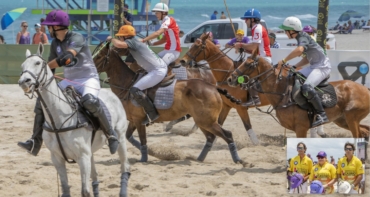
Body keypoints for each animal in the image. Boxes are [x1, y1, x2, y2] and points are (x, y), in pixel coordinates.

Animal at [19, 44, 132, 197]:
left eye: (37, 63)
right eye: (22, 65)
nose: (23, 82)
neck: (58, 122)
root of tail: (112, 94)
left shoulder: (82, 157)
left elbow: (85, 191)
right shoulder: (57, 158)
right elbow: (66, 189)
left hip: (120, 137)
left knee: (125, 167)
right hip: (90, 153)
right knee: (95, 177)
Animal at [92, 41, 244, 163]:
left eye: (99, 57)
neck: (127, 84)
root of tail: (213, 87)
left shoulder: (139, 120)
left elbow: (142, 140)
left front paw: (144, 158)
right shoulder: (134, 121)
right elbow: (130, 137)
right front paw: (153, 153)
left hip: (207, 121)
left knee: (227, 135)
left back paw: (238, 160)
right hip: (203, 120)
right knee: (211, 137)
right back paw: (199, 158)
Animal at [225, 48, 370, 137]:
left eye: (248, 64)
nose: (230, 79)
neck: (283, 93)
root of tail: (365, 89)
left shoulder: (301, 127)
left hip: (351, 117)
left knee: (358, 136)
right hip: (342, 120)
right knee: (365, 132)